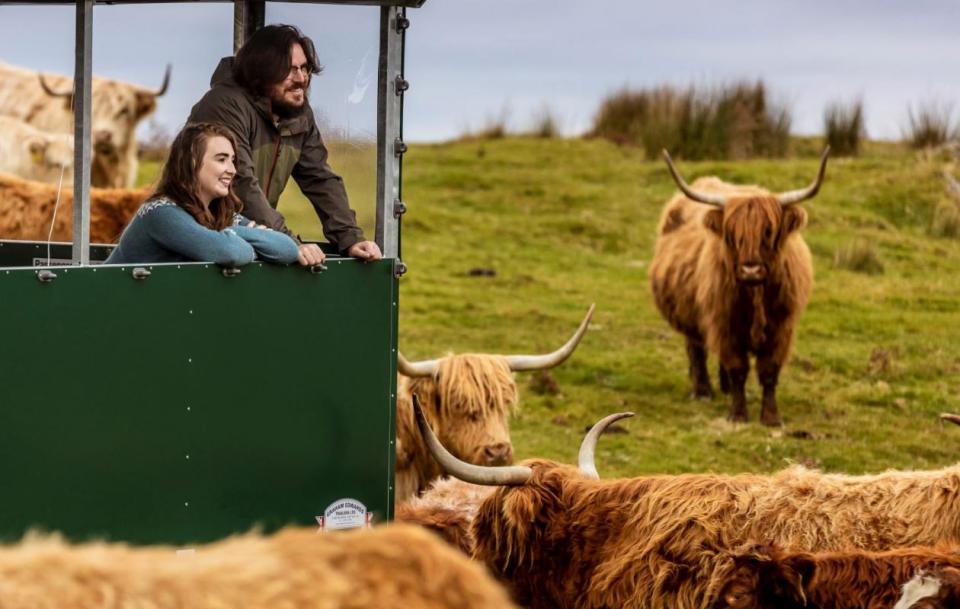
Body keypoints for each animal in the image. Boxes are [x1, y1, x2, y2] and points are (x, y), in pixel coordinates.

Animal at [648, 148, 828, 422]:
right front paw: (738, 414)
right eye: (733, 234)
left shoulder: (781, 329)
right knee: (696, 349)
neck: (755, 294)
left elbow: (769, 371)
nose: (750, 269)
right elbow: (738, 368)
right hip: (690, 313)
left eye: (768, 231)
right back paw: (703, 391)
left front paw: (771, 417)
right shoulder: (724, 324)